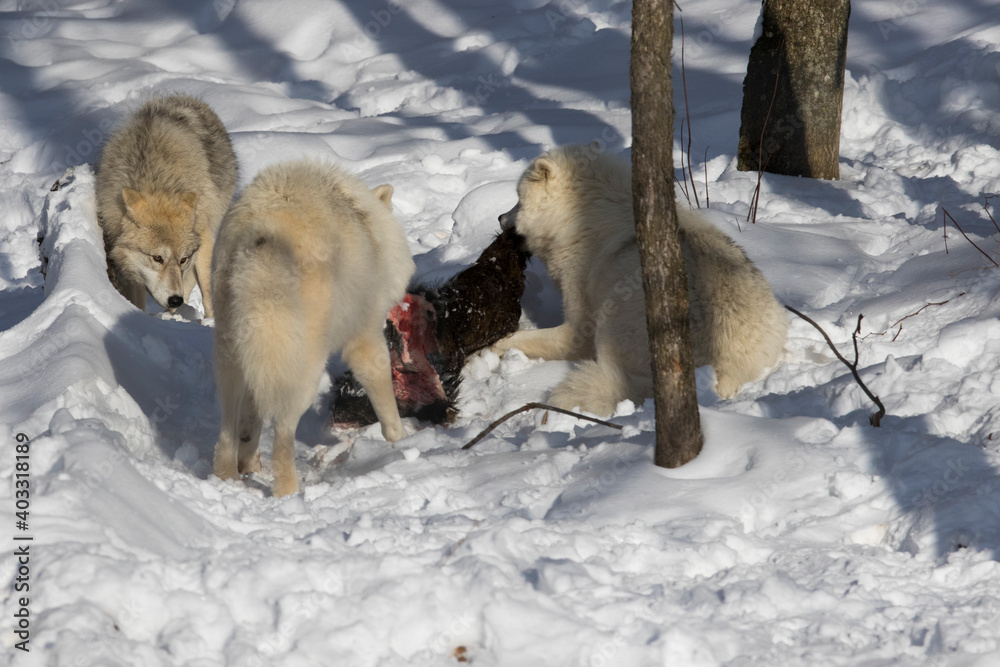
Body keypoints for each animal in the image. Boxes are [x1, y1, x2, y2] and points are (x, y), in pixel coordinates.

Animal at [96, 94, 237, 318]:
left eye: (183, 259)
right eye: (157, 258)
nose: (175, 299)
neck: (156, 181)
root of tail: (187, 98)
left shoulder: (203, 236)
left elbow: (206, 289)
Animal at [211, 159, 416, 497]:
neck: (370, 229)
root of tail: (263, 232)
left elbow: (252, 417)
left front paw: (249, 462)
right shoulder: (365, 334)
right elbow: (382, 389)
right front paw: (401, 440)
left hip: (234, 354)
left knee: (228, 425)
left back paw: (227, 477)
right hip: (302, 369)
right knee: (283, 433)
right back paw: (288, 492)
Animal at [493, 144, 788, 416]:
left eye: (518, 199)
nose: (499, 217)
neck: (582, 215)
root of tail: (719, 371)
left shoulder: (578, 328)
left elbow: (520, 339)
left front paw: (489, 347)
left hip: (611, 322)